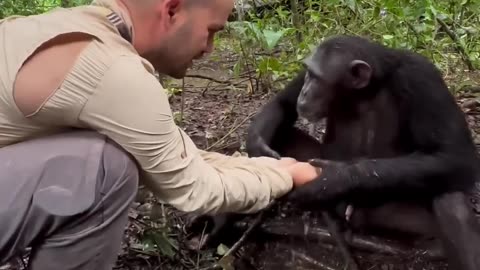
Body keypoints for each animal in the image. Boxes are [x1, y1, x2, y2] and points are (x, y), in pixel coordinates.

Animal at [187, 34, 480, 268]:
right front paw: (259, 149)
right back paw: (223, 220)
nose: (305, 91)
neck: (367, 89)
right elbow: (283, 103)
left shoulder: (424, 79)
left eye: (317, 78)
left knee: (451, 203)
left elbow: (454, 155)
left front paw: (334, 179)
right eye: (307, 73)